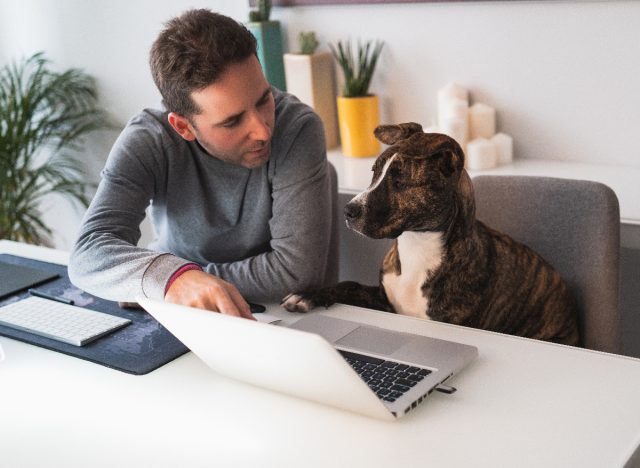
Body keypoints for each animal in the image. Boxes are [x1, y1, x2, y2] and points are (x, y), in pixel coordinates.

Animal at [282, 122, 584, 346]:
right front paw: (309, 295)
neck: (417, 245)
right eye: (374, 171)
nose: (348, 210)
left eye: (400, 183)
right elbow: (349, 284)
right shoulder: (384, 299)